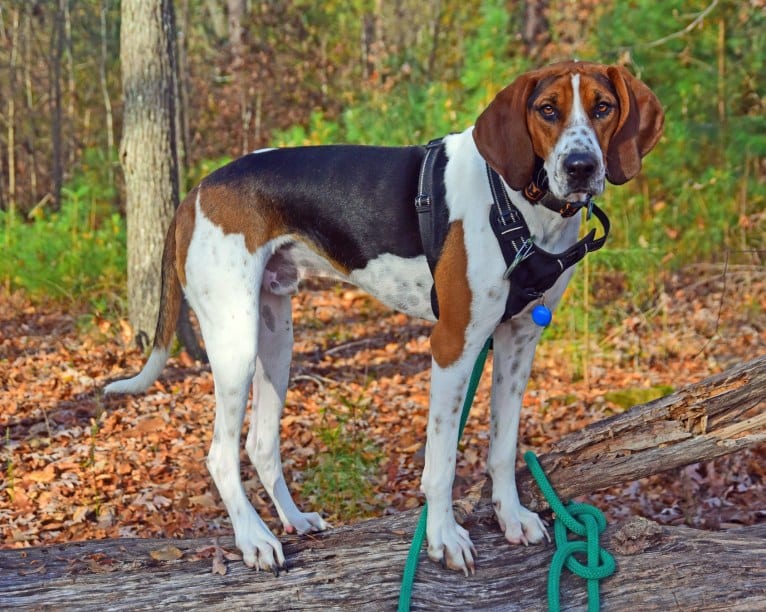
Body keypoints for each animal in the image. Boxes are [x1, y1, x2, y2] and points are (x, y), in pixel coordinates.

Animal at [105, 63, 664, 580]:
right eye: (547, 110)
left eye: (603, 107)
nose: (580, 166)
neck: (517, 202)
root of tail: (196, 191)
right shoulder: (453, 345)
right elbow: (441, 461)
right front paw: (443, 538)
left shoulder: (518, 340)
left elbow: (503, 446)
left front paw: (510, 517)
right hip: (234, 340)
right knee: (221, 455)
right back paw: (254, 541)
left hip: (275, 339)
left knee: (260, 445)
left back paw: (293, 521)